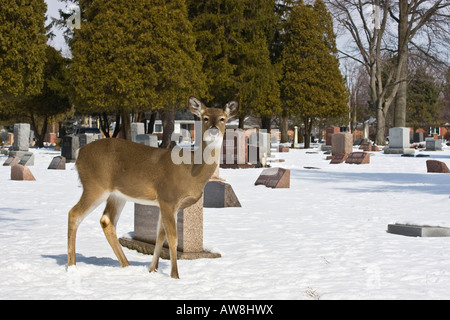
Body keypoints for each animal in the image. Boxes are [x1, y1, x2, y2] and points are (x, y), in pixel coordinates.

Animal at [67, 97, 239, 278]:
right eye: (205, 118)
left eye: (222, 118)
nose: (213, 130)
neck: (192, 171)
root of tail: (79, 153)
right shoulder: (168, 197)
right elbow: (172, 238)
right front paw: (175, 276)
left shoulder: (170, 205)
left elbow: (160, 237)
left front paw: (152, 269)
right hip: (95, 185)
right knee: (74, 213)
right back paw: (71, 266)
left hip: (116, 195)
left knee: (106, 220)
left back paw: (126, 265)